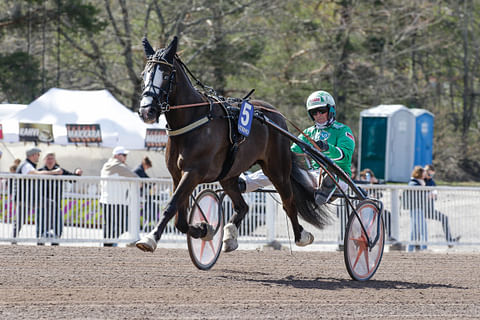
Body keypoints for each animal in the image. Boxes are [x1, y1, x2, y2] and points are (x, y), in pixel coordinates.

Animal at [135, 36, 330, 254]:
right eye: (144, 74)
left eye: (167, 75)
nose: (147, 110)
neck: (192, 120)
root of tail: (275, 114)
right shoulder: (178, 175)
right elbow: (180, 220)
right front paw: (204, 229)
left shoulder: (193, 172)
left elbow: (171, 205)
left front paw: (150, 238)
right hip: (228, 175)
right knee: (242, 206)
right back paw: (229, 236)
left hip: (277, 169)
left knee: (288, 201)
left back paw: (301, 235)